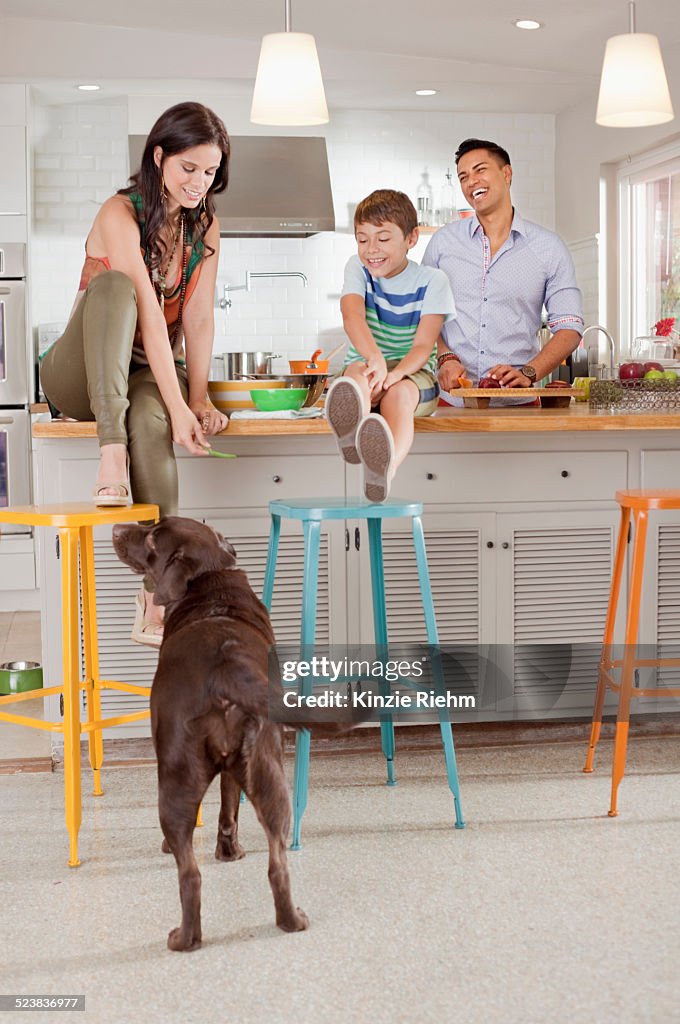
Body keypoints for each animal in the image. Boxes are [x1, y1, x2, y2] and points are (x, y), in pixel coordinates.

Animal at [111, 516, 307, 954]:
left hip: (175, 778)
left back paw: (184, 939)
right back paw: (291, 920)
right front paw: (229, 852)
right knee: (278, 864)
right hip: (269, 774)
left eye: (152, 537)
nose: (115, 528)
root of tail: (225, 664)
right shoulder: (236, 773)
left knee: (189, 873)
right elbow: (228, 811)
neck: (210, 583)